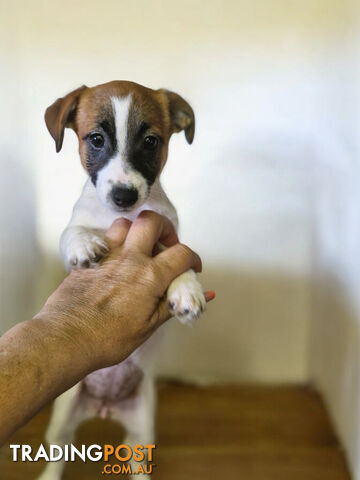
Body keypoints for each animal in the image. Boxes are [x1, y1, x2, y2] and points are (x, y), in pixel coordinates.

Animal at [37, 80, 205, 478]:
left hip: (143, 424)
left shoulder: (168, 236)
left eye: (151, 141)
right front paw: (84, 245)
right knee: (59, 451)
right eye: (96, 139)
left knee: (138, 460)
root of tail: (104, 407)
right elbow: (73, 233)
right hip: (64, 412)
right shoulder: (75, 227)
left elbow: (179, 257)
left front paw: (187, 288)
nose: (124, 195)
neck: (126, 217)